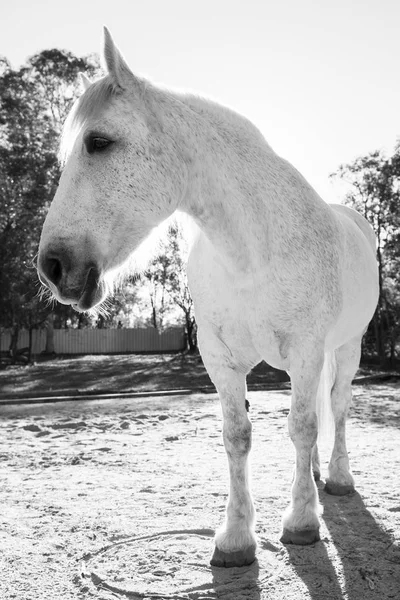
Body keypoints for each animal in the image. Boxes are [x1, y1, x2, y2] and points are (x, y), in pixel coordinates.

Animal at [36, 29, 378, 572]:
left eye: (98, 142)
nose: (52, 267)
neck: (252, 251)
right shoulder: (220, 359)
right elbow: (237, 436)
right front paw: (236, 538)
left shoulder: (306, 352)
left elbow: (302, 427)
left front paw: (301, 522)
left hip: (348, 346)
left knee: (339, 406)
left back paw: (338, 480)